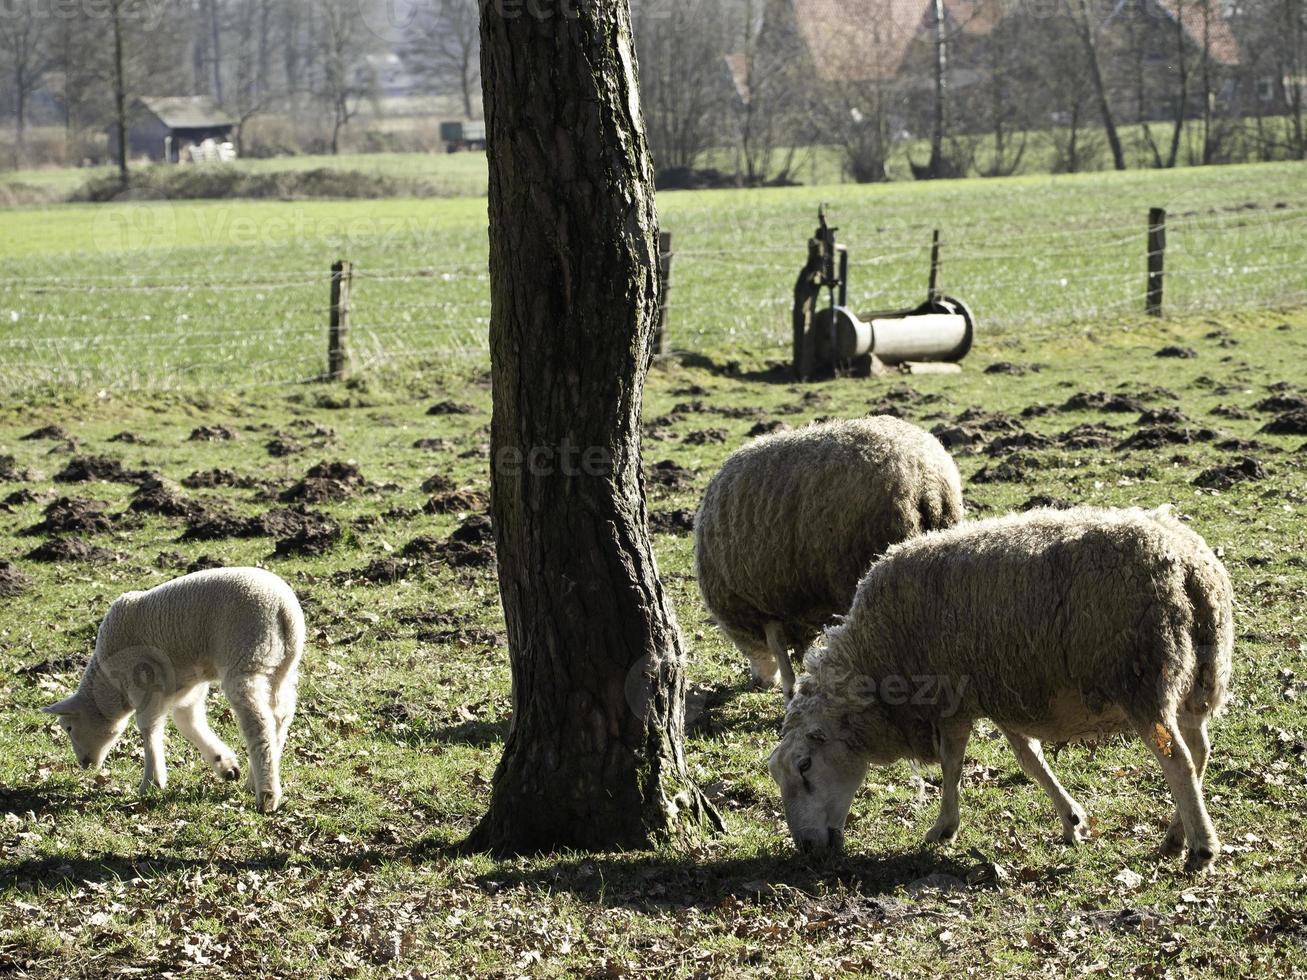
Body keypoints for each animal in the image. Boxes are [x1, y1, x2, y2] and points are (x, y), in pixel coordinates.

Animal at [44, 567, 305, 815]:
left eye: (68, 728)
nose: (84, 765)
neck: (110, 686)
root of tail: (283, 609)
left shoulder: (144, 682)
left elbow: (148, 727)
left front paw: (152, 781)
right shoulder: (186, 688)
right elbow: (187, 722)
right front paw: (225, 765)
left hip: (245, 656)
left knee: (258, 723)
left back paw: (267, 795)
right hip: (282, 665)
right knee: (279, 717)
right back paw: (255, 780)